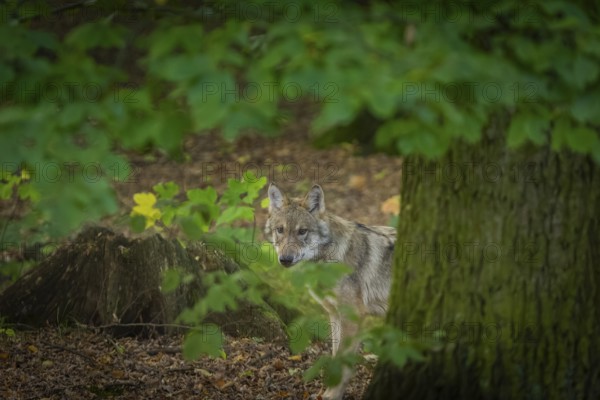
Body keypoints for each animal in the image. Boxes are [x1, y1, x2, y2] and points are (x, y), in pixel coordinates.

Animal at [264, 183, 396, 398]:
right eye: (280, 230)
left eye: (302, 231)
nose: (285, 259)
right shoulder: (334, 314)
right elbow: (335, 358)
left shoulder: (353, 317)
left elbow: (343, 363)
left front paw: (332, 395)